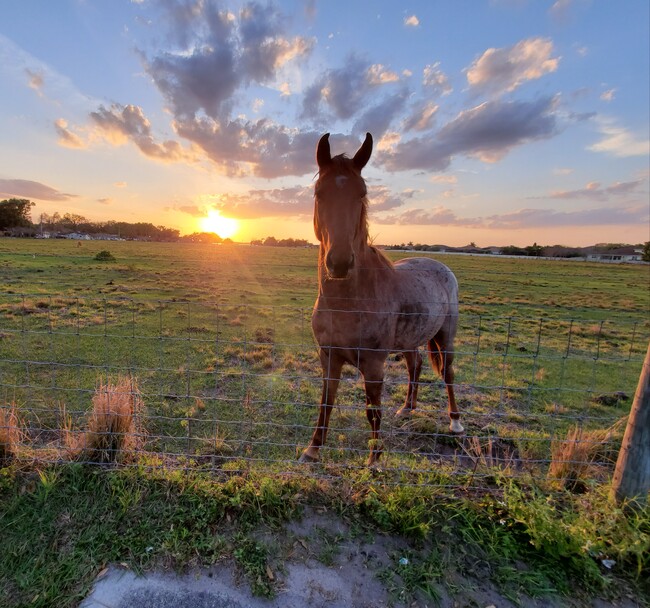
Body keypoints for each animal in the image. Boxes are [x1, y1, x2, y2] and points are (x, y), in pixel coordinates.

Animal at [296, 132, 464, 466]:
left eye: (361, 193)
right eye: (319, 193)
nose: (339, 263)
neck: (349, 303)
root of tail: (441, 266)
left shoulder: (373, 366)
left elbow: (372, 411)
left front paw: (374, 460)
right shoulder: (328, 358)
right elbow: (326, 402)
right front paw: (313, 448)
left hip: (445, 336)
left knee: (448, 373)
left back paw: (455, 422)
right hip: (411, 341)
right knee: (415, 366)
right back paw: (408, 408)